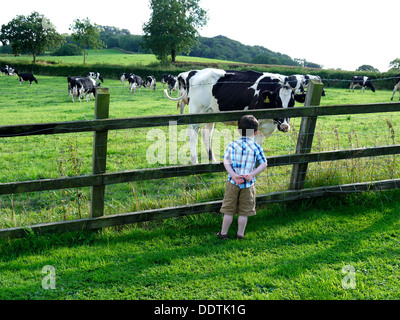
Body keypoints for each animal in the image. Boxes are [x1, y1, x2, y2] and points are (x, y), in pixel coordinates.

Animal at [164, 68, 304, 164]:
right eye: (277, 102)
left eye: (292, 104)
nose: (285, 126)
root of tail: (195, 72)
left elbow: (258, 144)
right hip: (196, 111)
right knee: (192, 133)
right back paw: (195, 162)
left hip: (209, 113)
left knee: (206, 133)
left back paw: (212, 159)